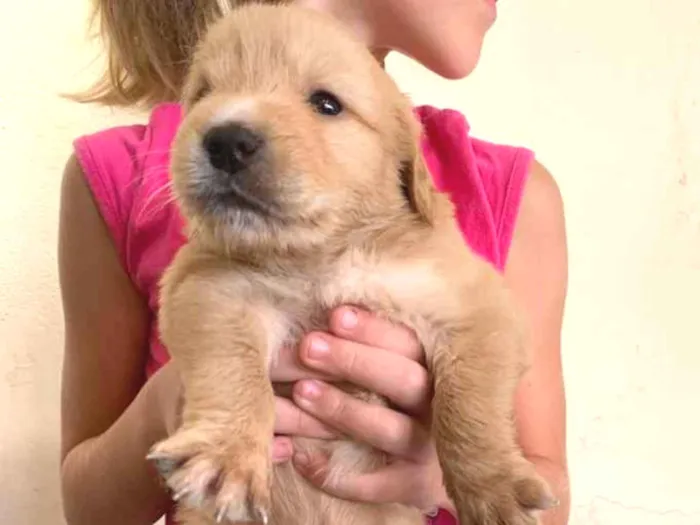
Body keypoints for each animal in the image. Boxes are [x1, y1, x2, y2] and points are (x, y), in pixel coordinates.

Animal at [150, 4, 556, 524]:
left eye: (326, 104)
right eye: (204, 94)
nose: (225, 142)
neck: (323, 253)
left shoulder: (474, 309)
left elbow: (470, 404)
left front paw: (494, 489)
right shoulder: (209, 288)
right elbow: (233, 370)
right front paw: (227, 456)